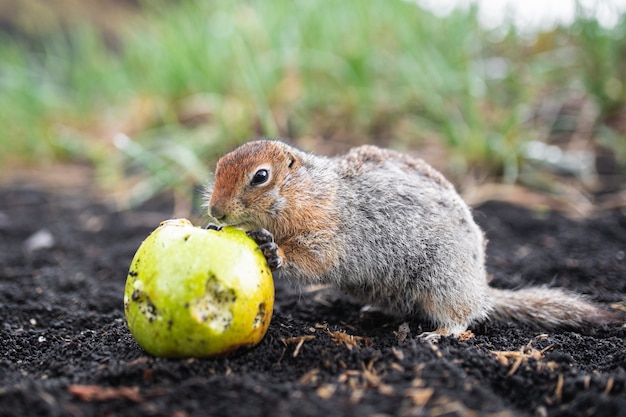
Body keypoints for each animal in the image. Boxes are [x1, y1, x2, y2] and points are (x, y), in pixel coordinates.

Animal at [206, 138, 620, 336]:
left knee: (463, 317)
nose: (215, 211)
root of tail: (482, 287)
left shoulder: (329, 226)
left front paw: (274, 250)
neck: (310, 190)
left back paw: (440, 335)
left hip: (443, 283)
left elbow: (318, 256)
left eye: (260, 176)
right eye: (219, 165)